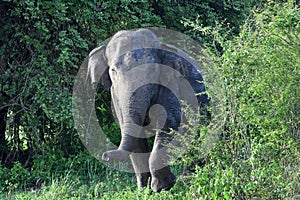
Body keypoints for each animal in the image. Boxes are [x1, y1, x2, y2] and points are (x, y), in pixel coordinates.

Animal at [86, 28, 209, 192]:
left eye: (151, 70)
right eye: (113, 70)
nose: (105, 155)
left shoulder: (170, 85)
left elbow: (168, 124)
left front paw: (162, 187)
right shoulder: (116, 96)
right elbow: (134, 135)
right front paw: (144, 190)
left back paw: (189, 179)